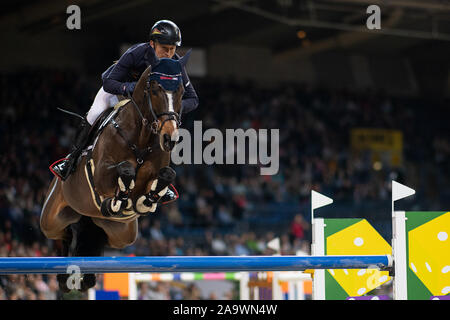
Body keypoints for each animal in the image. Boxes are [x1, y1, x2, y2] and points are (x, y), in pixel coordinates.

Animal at [40, 55, 190, 292]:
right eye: (155, 89)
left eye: (181, 92)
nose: (170, 138)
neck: (141, 136)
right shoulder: (101, 174)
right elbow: (124, 168)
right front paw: (119, 200)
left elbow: (166, 174)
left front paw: (146, 201)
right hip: (51, 219)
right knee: (62, 234)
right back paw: (65, 277)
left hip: (122, 234)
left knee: (95, 239)